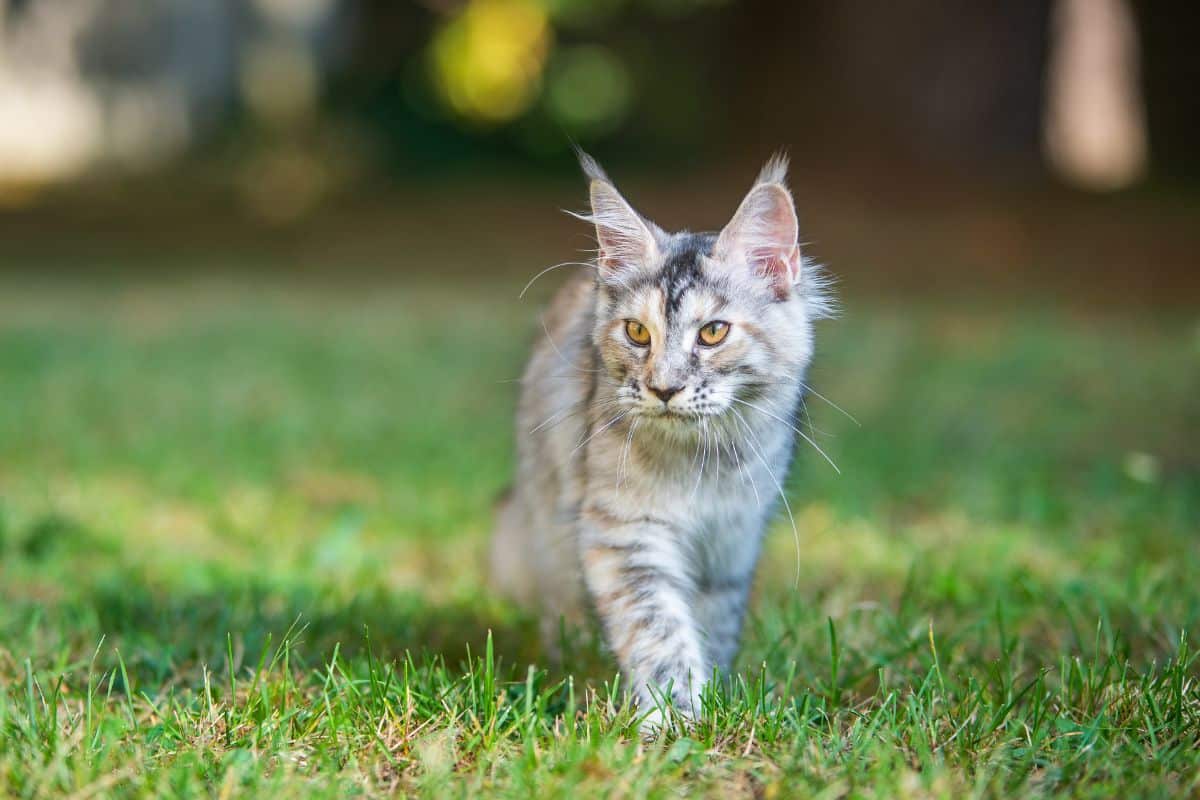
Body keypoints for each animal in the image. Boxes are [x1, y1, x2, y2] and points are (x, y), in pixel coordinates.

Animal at [487, 151, 835, 724]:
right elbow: (659, 631)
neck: (703, 463)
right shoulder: (625, 534)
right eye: (637, 333)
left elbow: (712, 629)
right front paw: (677, 719)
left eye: (713, 333)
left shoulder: (731, 545)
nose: (664, 388)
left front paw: (714, 703)